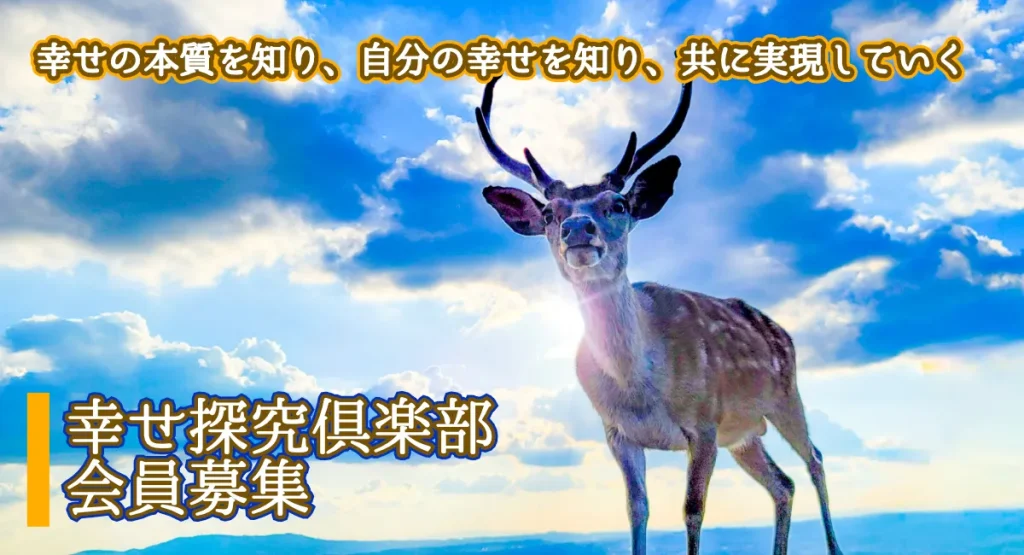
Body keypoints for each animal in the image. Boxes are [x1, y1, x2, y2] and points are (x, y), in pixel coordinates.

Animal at [474, 76, 844, 555]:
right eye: (549, 213)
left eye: (618, 205)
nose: (577, 229)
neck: (638, 385)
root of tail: (782, 329)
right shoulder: (617, 433)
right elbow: (637, 510)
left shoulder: (704, 424)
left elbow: (692, 510)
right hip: (745, 434)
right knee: (783, 484)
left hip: (785, 395)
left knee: (814, 459)